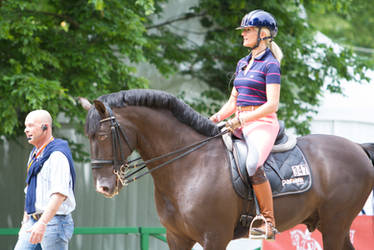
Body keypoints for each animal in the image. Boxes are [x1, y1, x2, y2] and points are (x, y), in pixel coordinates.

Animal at [81, 90, 374, 250]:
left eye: (103, 136)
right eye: (89, 136)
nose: (103, 187)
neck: (188, 164)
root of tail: (358, 148)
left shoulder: (214, 237)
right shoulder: (177, 238)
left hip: (335, 225)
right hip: (331, 225)